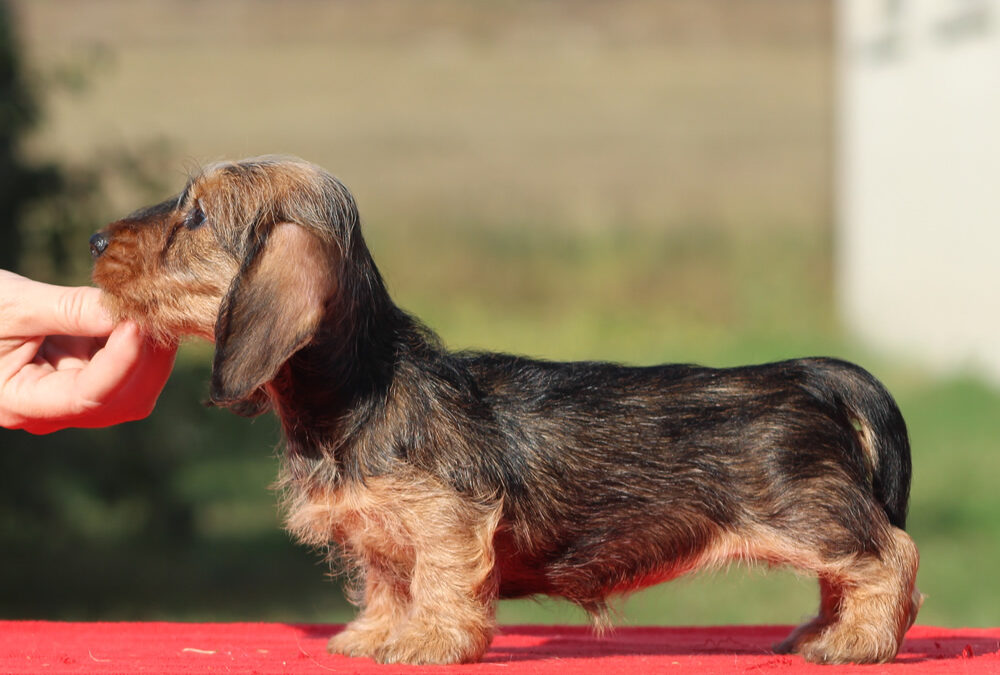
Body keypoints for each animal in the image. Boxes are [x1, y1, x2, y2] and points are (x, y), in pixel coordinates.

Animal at [92, 157, 920, 664]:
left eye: (195, 217)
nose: (96, 237)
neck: (365, 385)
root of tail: (808, 374)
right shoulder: (383, 533)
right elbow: (387, 579)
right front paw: (374, 634)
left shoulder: (446, 518)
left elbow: (440, 579)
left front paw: (429, 641)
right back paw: (824, 629)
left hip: (807, 516)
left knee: (889, 557)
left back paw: (858, 641)